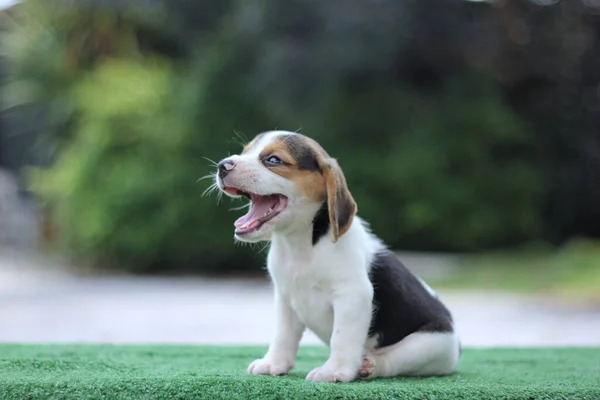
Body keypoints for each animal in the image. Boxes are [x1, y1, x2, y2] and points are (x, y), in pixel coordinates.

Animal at [213, 130, 462, 382]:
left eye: (273, 160)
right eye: (244, 151)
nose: (223, 165)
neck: (300, 244)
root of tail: (457, 342)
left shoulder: (352, 295)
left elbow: (342, 338)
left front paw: (334, 371)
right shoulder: (284, 299)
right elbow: (282, 336)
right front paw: (273, 363)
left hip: (432, 345)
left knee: (393, 361)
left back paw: (370, 365)